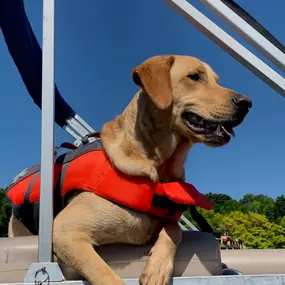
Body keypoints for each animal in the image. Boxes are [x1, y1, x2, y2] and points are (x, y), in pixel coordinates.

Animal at [7, 55, 250, 284]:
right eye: (195, 76)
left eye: (217, 80)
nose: (247, 103)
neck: (157, 165)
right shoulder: (64, 231)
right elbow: (107, 276)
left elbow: (174, 229)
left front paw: (157, 268)